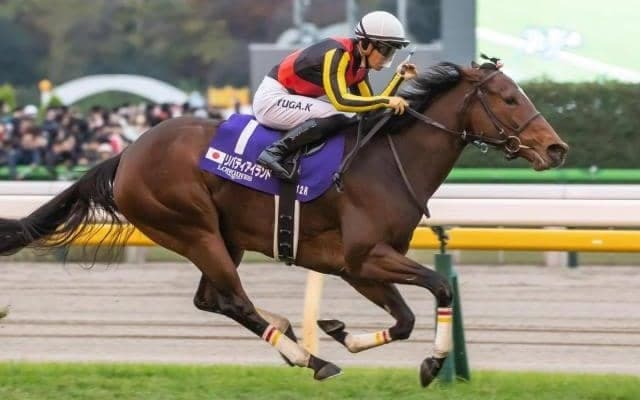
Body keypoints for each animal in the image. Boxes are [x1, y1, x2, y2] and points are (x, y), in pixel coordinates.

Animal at [0, 61, 568, 387]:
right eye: (510, 98)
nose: (556, 148)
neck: (388, 161)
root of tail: (128, 153)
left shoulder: (356, 266)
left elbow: (405, 318)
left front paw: (342, 332)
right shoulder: (366, 256)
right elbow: (439, 287)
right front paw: (431, 365)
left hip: (221, 237)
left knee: (212, 299)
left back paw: (294, 334)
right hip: (192, 228)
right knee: (231, 299)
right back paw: (308, 358)